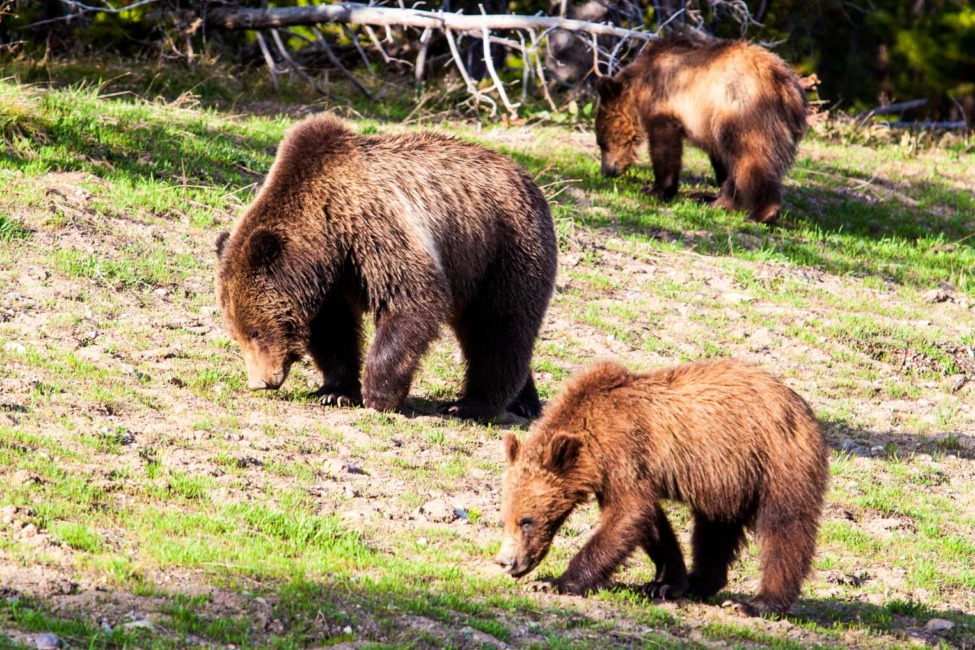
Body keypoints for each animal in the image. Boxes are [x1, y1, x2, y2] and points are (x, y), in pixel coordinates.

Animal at [215, 114, 557, 421]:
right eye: (236, 334)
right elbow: (333, 329)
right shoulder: (334, 278)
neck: (326, 237)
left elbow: (413, 299)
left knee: (498, 327)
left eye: (255, 331)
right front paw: (335, 391)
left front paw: (378, 395)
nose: (261, 382)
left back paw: (471, 405)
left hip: (504, 249)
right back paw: (525, 402)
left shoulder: (375, 230)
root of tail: (528, 178)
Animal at [495, 359, 829, 616]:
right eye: (505, 519)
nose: (507, 562)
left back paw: (756, 603)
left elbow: (628, 514)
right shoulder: (623, 472)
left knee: (785, 529)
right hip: (729, 481)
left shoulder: (624, 452)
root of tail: (801, 404)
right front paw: (665, 583)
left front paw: (555, 581)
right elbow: (648, 521)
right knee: (714, 532)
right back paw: (700, 581)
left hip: (778, 460)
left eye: (527, 520)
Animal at [594, 32, 807, 224]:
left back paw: (760, 214)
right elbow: (720, 161)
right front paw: (719, 194)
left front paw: (655, 190)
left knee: (751, 158)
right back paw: (715, 202)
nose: (606, 171)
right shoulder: (709, 122)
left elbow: (664, 148)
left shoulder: (664, 106)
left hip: (745, 111)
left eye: (601, 142)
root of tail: (786, 87)